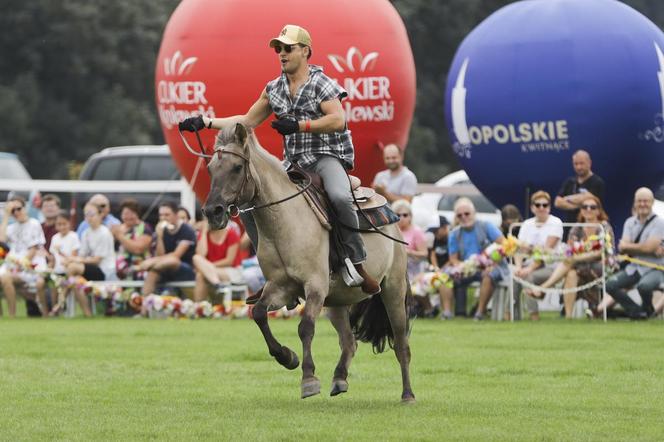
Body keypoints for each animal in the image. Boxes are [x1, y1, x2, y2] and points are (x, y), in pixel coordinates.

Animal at [200, 122, 416, 402]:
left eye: (237, 167)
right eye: (210, 168)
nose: (212, 212)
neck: (285, 221)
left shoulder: (315, 286)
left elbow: (305, 328)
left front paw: (309, 379)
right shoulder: (280, 286)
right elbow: (258, 313)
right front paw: (287, 357)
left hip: (393, 290)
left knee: (401, 344)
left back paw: (407, 394)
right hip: (337, 301)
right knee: (349, 341)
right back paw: (339, 379)